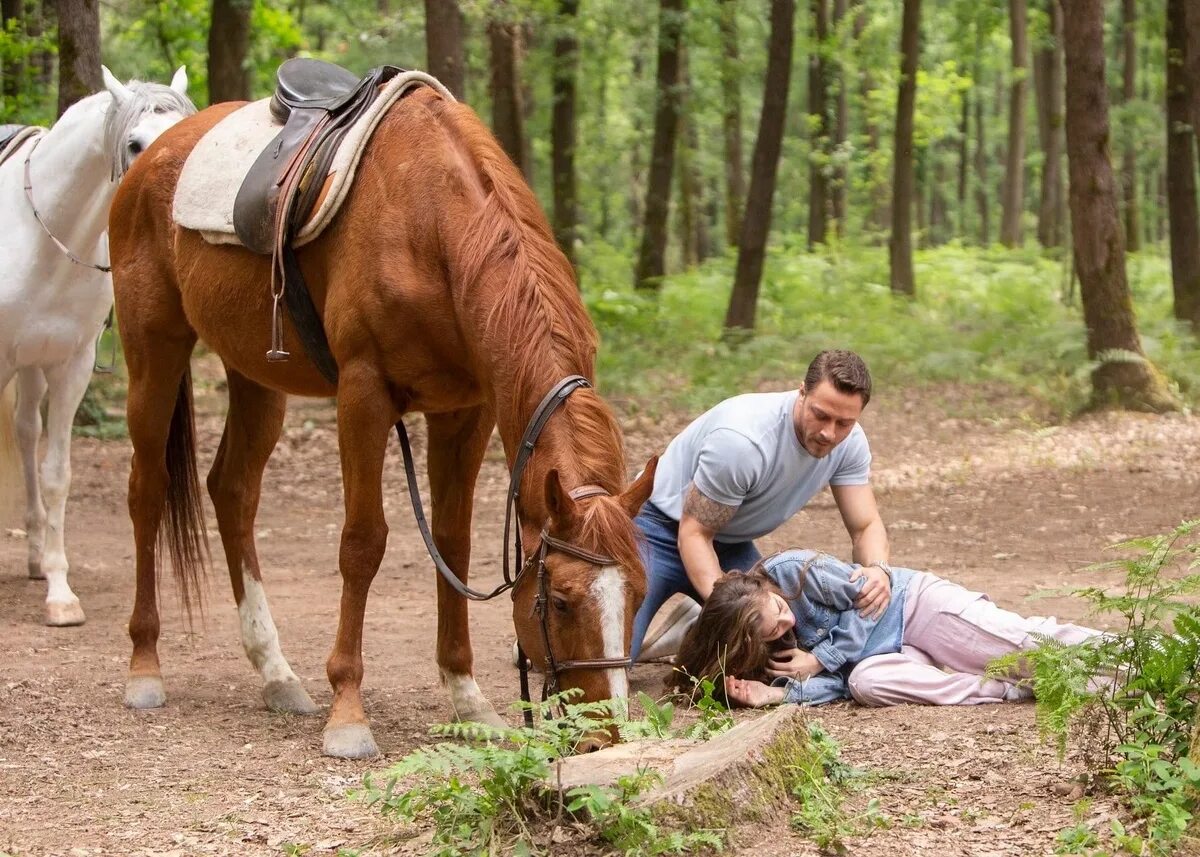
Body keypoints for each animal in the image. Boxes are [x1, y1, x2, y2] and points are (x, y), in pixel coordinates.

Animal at [0, 66, 194, 624]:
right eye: (134, 144)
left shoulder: (72, 366)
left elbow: (57, 474)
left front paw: (60, 592)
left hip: (32, 366)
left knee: (26, 432)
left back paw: (34, 556)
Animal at [109, 85, 657, 753]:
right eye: (560, 603)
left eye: (639, 594)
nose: (608, 734)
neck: (434, 231)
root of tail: (155, 153)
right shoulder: (363, 394)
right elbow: (362, 543)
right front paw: (347, 712)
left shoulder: (465, 411)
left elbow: (452, 542)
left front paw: (468, 699)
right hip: (152, 351)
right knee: (147, 492)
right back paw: (144, 667)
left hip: (255, 376)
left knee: (232, 492)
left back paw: (276, 673)